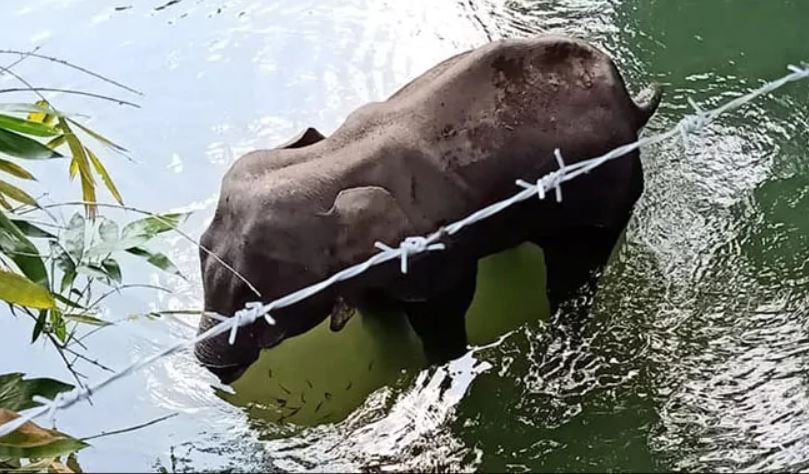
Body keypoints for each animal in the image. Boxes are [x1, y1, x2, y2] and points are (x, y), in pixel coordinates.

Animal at [195, 35, 662, 383]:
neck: (333, 159)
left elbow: (445, 310)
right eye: (201, 248)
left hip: (606, 190)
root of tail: (632, 104)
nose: (209, 365)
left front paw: (438, 367)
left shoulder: (433, 252)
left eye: (256, 300)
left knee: (574, 273)